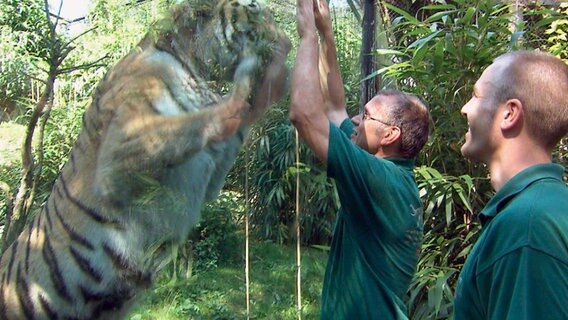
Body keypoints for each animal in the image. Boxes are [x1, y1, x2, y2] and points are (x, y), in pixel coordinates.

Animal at [0, 0, 288, 318]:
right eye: (255, 9)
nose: (287, 43)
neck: (195, 68)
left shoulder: (211, 172)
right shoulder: (120, 152)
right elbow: (204, 116)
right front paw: (252, 72)